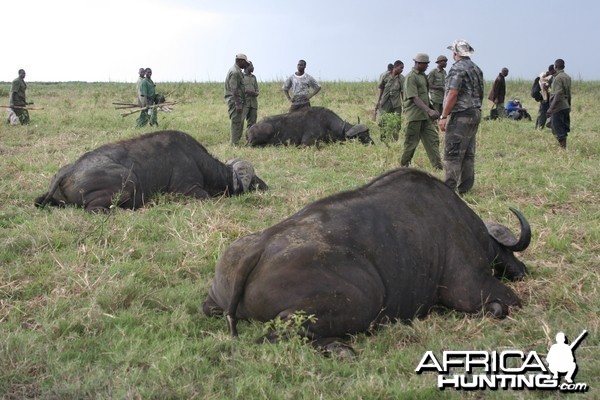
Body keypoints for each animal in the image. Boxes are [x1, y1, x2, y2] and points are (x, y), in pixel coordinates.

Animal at [204, 168, 532, 354]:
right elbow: (509, 303)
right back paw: (338, 349)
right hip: (364, 299)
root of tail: (259, 247)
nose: (523, 270)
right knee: (274, 336)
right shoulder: (469, 288)